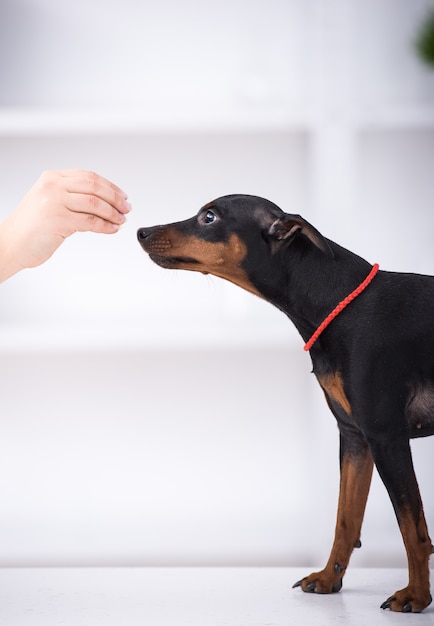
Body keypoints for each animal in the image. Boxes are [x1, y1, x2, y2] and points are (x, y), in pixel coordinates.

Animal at [137, 194, 432, 608]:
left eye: (209, 216)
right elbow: (345, 518)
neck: (340, 303)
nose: (141, 231)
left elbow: (412, 527)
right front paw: (329, 579)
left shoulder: (386, 436)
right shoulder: (355, 437)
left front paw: (417, 596)